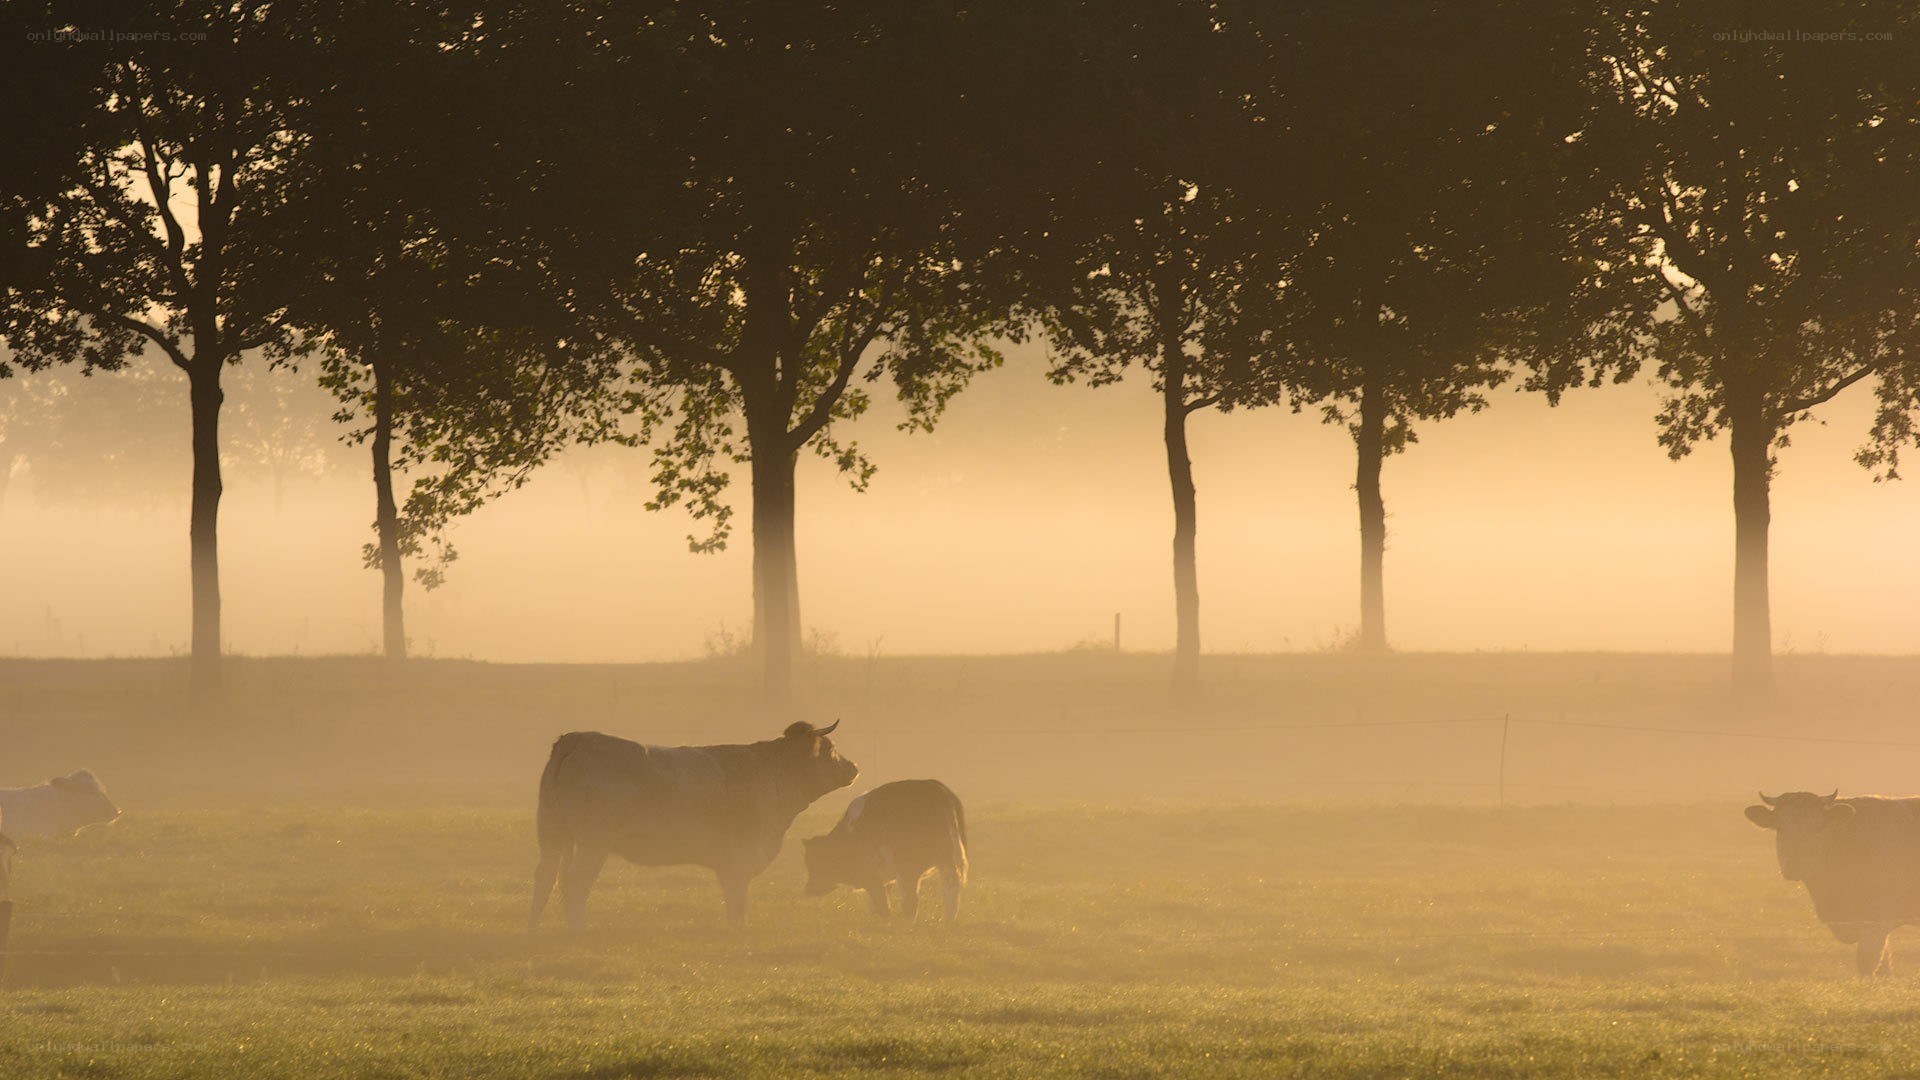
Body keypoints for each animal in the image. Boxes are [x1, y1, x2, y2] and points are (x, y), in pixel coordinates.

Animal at [529, 720, 859, 932]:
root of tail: (578, 738)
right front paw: (739, 931)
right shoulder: (742, 855)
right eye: (830, 748)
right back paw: (578, 931)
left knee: (545, 879)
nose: (853, 767)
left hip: (552, 835)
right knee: (575, 883)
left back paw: (534, 929)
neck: (771, 773)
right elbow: (738, 898)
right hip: (593, 842)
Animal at [803, 779, 968, 922]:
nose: (809, 889)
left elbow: (881, 901)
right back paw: (948, 921)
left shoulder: (871, 874)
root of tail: (935, 787)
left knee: (911, 899)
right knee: (951, 889)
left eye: (815, 862)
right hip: (946, 860)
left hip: (908, 865)